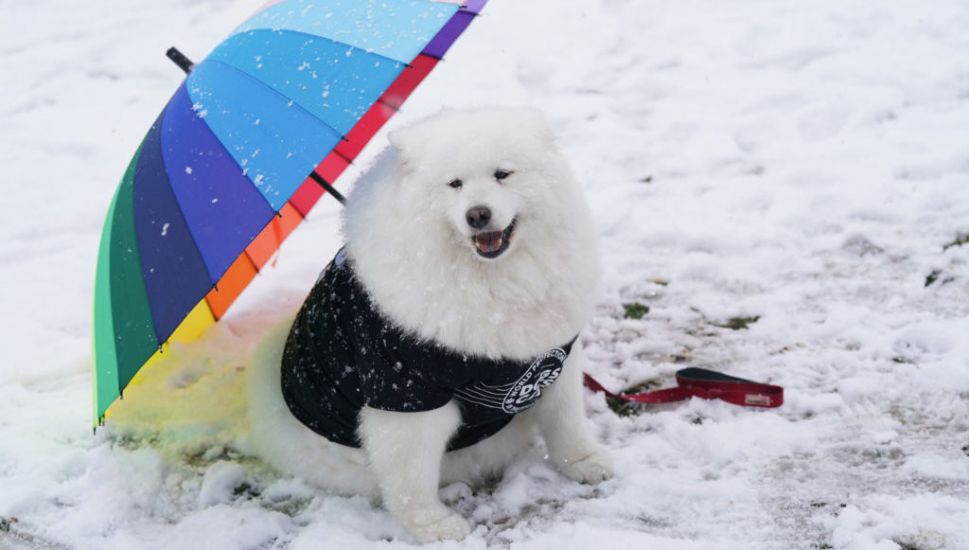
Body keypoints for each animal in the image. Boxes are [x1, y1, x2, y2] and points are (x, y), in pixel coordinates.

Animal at [250, 106, 612, 544]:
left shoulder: (555, 358)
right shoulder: (406, 393)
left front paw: (585, 462)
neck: (494, 283)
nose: (478, 214)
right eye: (454, 184)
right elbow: (410, 478)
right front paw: (434, 527)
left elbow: (567, 422)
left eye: (502, 174)